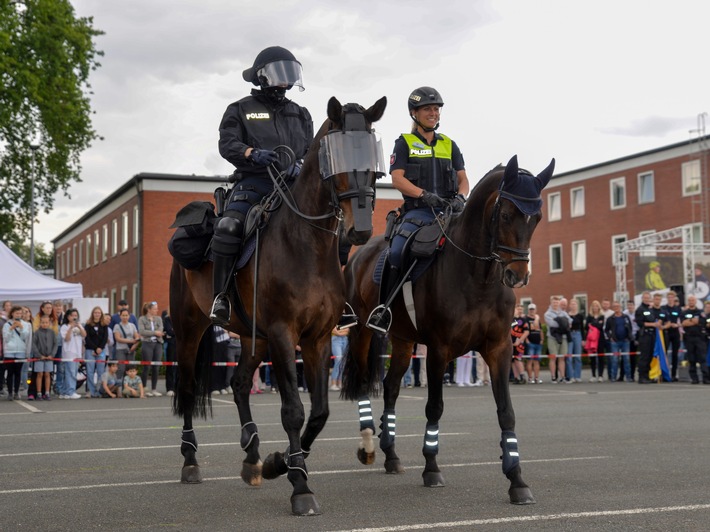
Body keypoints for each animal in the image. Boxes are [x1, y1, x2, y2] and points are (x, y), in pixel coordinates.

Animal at [169, 95, 386, 516]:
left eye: (372, 152)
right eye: (334, 155)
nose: (361, 228)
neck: (305, 244)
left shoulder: (316, 339)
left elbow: (319, 413)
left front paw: (278, 462)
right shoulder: (285, 335)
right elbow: (293, 411)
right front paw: (299, 485)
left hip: (253, 337)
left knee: (238, 383)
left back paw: (252, 457)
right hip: (191, 328)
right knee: (186, 389)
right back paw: (189, 461)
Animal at [342, 156, 552, 504]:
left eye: (536, 218)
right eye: (506, 214)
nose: (517, 275)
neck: (478, 277)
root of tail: (359, 254)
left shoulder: (499, 349)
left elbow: (506, 412)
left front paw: (517, 480)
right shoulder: (439, 350)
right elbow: (434, 407)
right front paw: (431, 468)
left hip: (402, 341)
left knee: (391, 387)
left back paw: (391, 455)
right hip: (363, 331)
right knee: (362, 382)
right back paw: (368, 444)